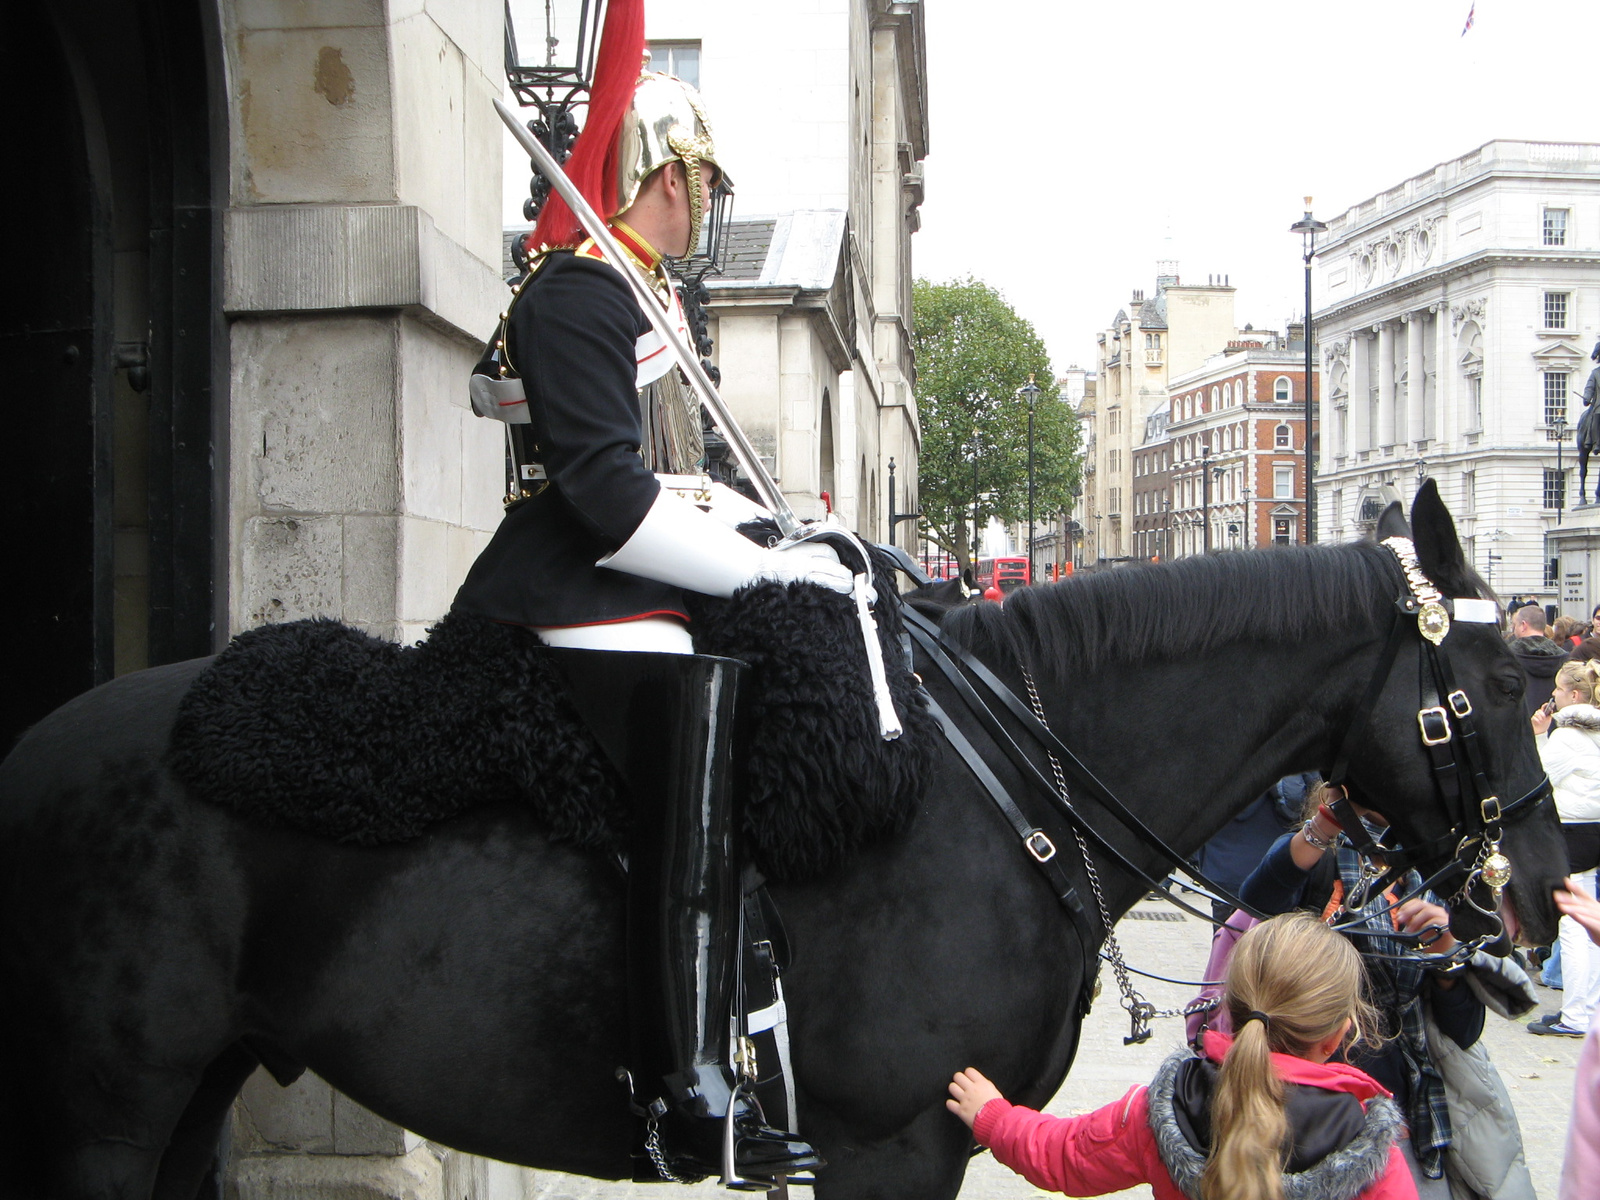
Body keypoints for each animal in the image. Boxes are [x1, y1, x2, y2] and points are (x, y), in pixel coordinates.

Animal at [0, 489, 1561, 1200]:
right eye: (1500, 684)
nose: (1537, 902)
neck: (1003, 795)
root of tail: (37, 747)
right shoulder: (890, 1146)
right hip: (109, 1103)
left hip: (194, 1082)